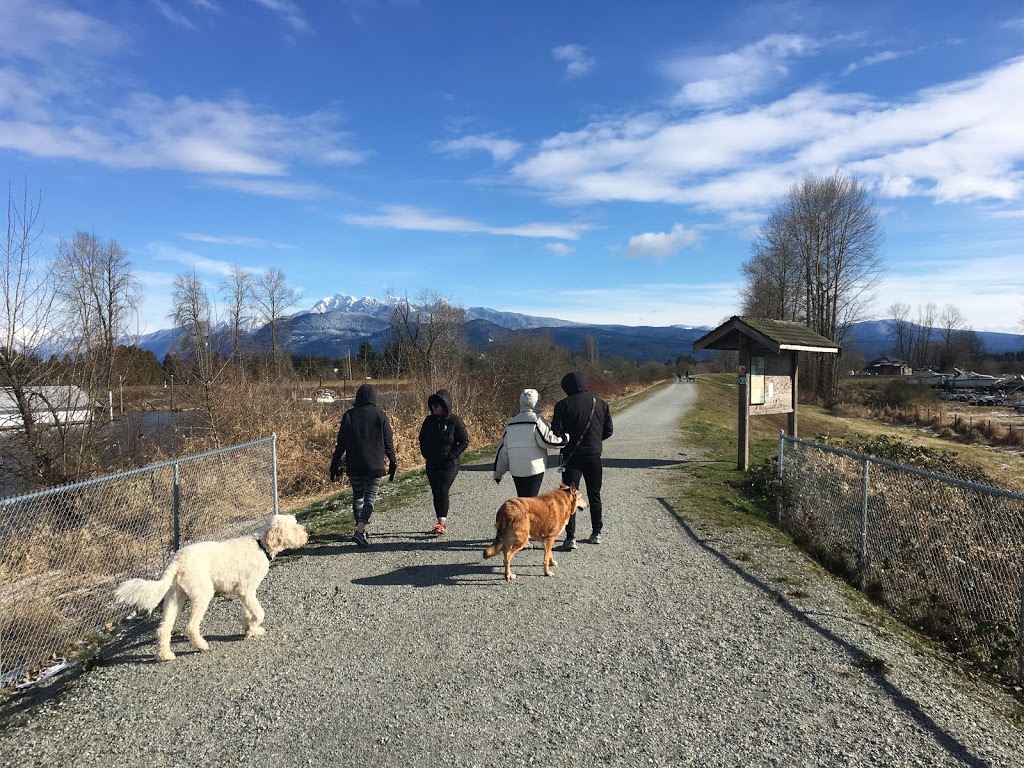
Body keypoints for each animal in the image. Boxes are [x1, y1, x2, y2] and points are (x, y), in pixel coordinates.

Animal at [115, 514, 307, 659]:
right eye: (294, 527)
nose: (306, 536)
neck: (260, 545)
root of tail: (177, 559)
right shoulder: (246, 590)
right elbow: (259, 613)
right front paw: (253, 628)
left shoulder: (244, 592)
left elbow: (248, 612)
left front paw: (250, 629)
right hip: (202, 593)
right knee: (190, 627)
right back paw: (201, 645)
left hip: (174, 596)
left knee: (163, 629)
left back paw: (165, 655)